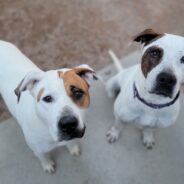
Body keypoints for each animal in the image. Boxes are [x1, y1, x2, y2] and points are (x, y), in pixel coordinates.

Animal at [0, 40, 98, 172]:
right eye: (47, 98)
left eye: (78, 93)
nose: (68, 124)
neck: (47, 129)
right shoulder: (38, 151)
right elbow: (43, 158)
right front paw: (47, 165)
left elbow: (70, 143)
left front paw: (73, 148)